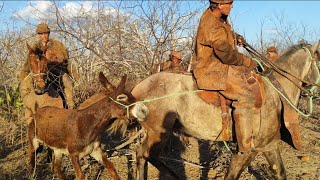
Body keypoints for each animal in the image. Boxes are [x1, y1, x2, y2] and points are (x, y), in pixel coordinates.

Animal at [131, 41, 318, 179]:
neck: (275, 93)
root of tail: (138, 88)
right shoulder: (246, 150)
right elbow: (232, 175)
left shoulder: (269, 146)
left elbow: (280, 172)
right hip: (157, 133)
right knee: (144, 155)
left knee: (143, 155)